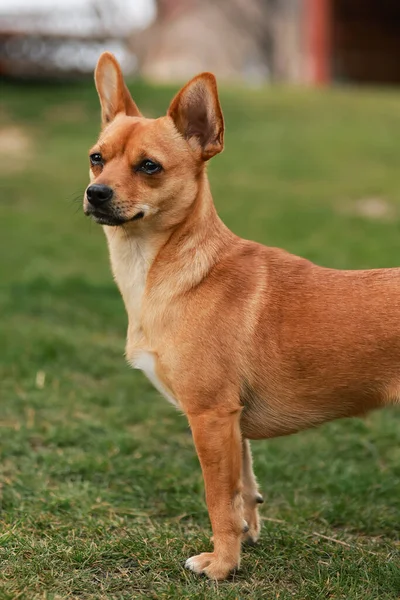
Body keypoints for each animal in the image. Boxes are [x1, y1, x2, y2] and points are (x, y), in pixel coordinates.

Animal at [83, 54, 398, 580]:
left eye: (149, 167)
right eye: (96, 158)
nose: (96, 193)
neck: (175, 267)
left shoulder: (210, 418)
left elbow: (217, 500)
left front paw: (221, 564)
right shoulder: (234, 426)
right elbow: (243, 492)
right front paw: (245, 540)